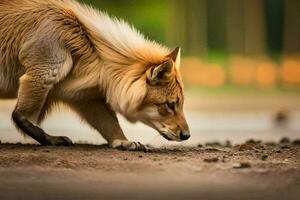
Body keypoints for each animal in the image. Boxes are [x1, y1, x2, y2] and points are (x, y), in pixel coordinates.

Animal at [0, 0, 191, 150]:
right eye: (170, 105)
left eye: (180, 103)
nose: (187, 135)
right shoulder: (44, 74)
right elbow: (20, 116)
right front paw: (52, 139)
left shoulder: (84, 97)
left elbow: (110, 124)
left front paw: (123, 142)